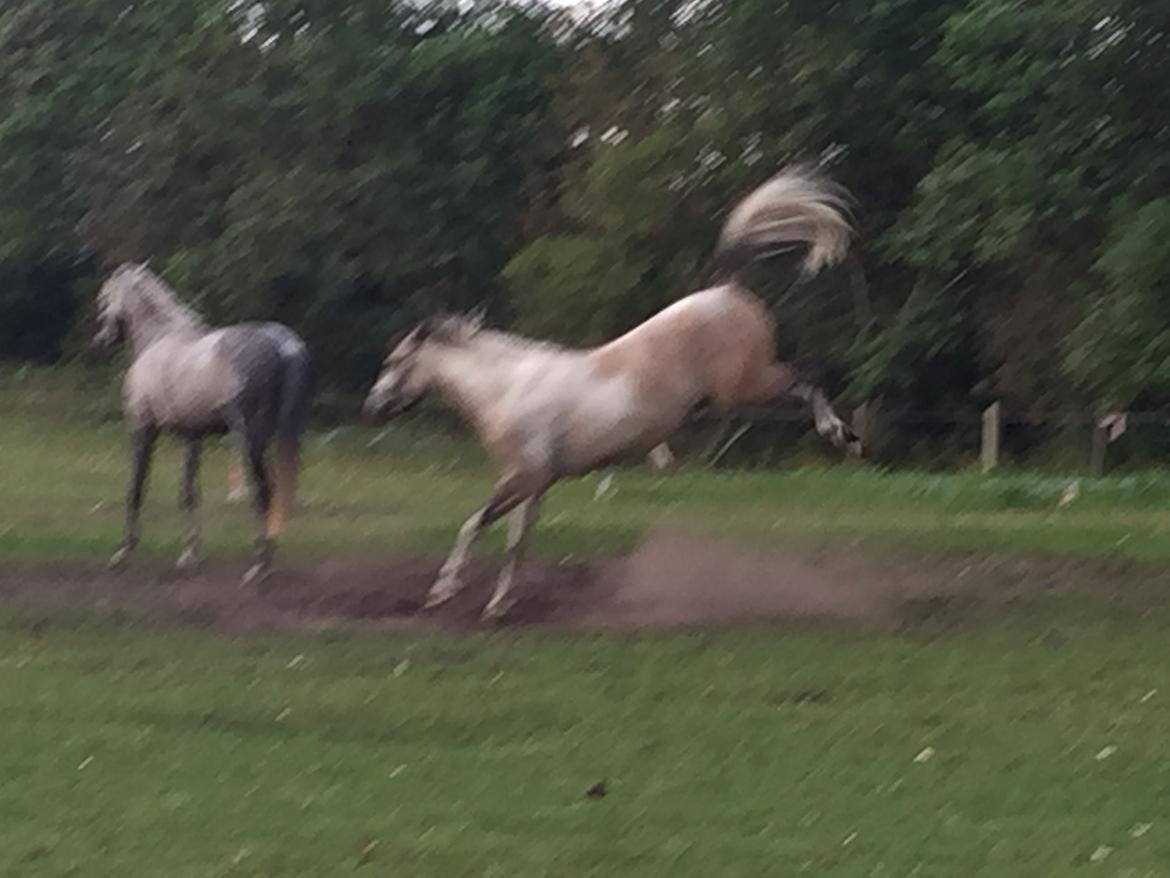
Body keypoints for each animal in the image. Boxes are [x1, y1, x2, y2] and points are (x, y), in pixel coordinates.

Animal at [91, 264, 313, 587]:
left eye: (105, 298)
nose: (102, 340)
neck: (158, 339)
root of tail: (284, 345)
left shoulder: (143, 430)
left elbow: (136, 488)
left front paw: (123, 553)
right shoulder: (192, 437)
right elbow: (189, 494)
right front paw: (189, 556)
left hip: (251, 437)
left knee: (263, 491)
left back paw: (259, 567)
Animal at [360, 163, 865, 618]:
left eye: (394, 362)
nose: (374, 405)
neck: (507, 390)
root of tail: (726, 289)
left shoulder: (520, 477)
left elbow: (471, 525)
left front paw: (442, 591)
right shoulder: (535, 485)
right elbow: (517, 544)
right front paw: (499, 606)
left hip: (747, 385)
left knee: (808, 377)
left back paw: (843, 437)